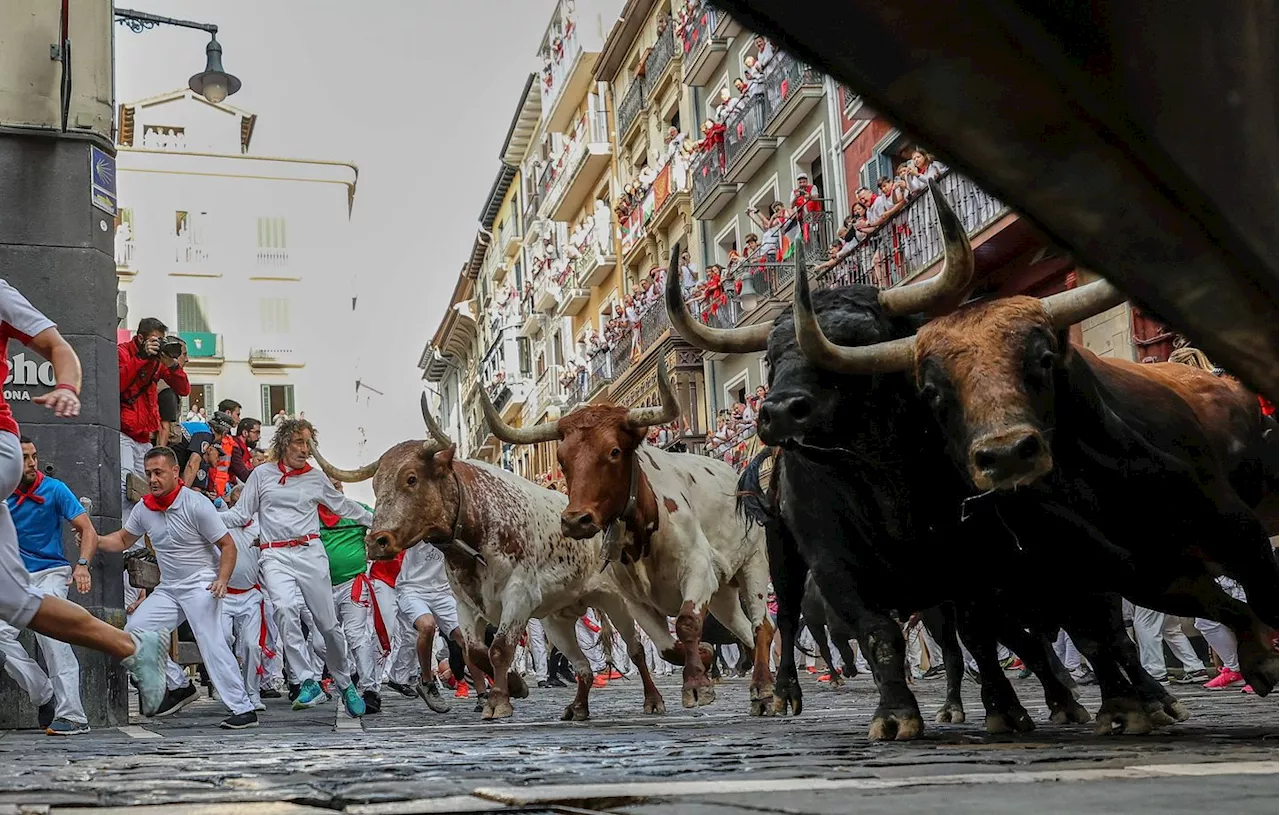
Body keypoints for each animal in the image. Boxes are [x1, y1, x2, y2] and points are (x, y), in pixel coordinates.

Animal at [312, 401, 670, 716]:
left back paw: (653, 699)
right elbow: (475, 652)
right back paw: (578, 707)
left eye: (411, 478)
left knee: (636, 648)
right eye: (375, 485)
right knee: (581, 663)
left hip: (616, 600)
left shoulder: (518, 595)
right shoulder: (465, 604)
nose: (376, 541)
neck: (475, 526)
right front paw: (514, 686)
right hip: (556, 616)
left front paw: (499, 700)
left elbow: (498, 648)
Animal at [481, 355, 773, 711]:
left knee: (762, 626)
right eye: (562, 459)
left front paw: (696, 684)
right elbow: (667, 647)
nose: (576, 520)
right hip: (723, 595)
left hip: (753, 564)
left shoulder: (698, 570)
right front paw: (701, 659)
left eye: (614, 451)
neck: (643, 534)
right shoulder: (635, 600)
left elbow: (687, 623)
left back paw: (763, 685)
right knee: (744, 629)